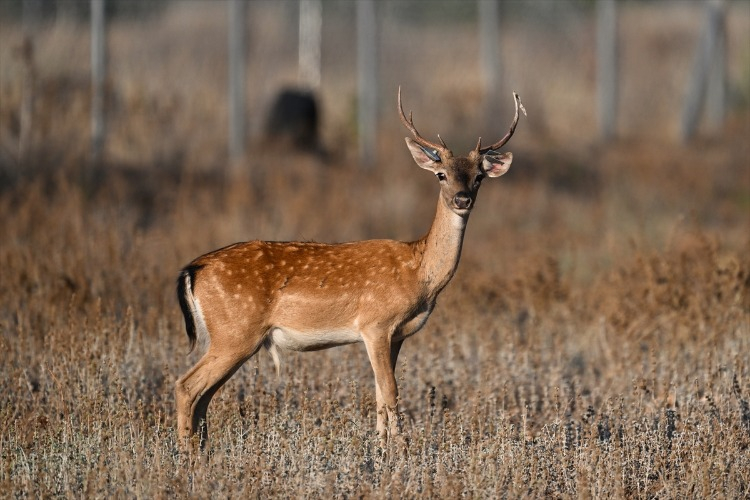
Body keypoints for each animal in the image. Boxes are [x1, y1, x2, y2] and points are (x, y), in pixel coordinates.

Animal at [178, 88, 528, 448]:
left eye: (479, 177)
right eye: (440, 173)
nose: (462, 199)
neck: (419, 274)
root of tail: (193, 270)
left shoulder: (396, 335)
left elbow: (379, 394)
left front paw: (381, 447)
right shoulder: (375, 324)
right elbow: (391, 391)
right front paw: (400, 451)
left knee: (203, 395)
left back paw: (202, 450)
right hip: (236, 332)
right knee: (187, 386)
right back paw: (186, 454)